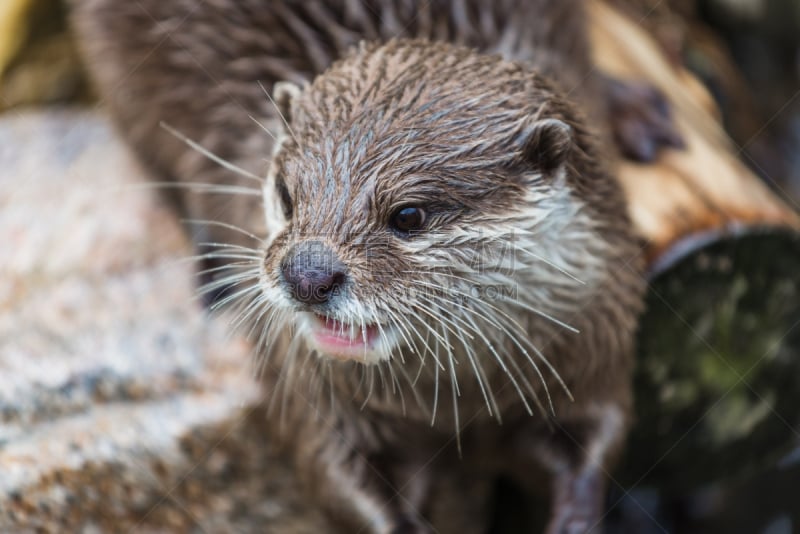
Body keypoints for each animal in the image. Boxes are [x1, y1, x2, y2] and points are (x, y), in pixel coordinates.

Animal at [70, 2, 676, 532]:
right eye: (286, 195)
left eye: (408, 215)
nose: (308, 274)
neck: (456, 410)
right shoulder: (311, 394)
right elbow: (333, 477)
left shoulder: (597, 343)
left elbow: (598, 443)